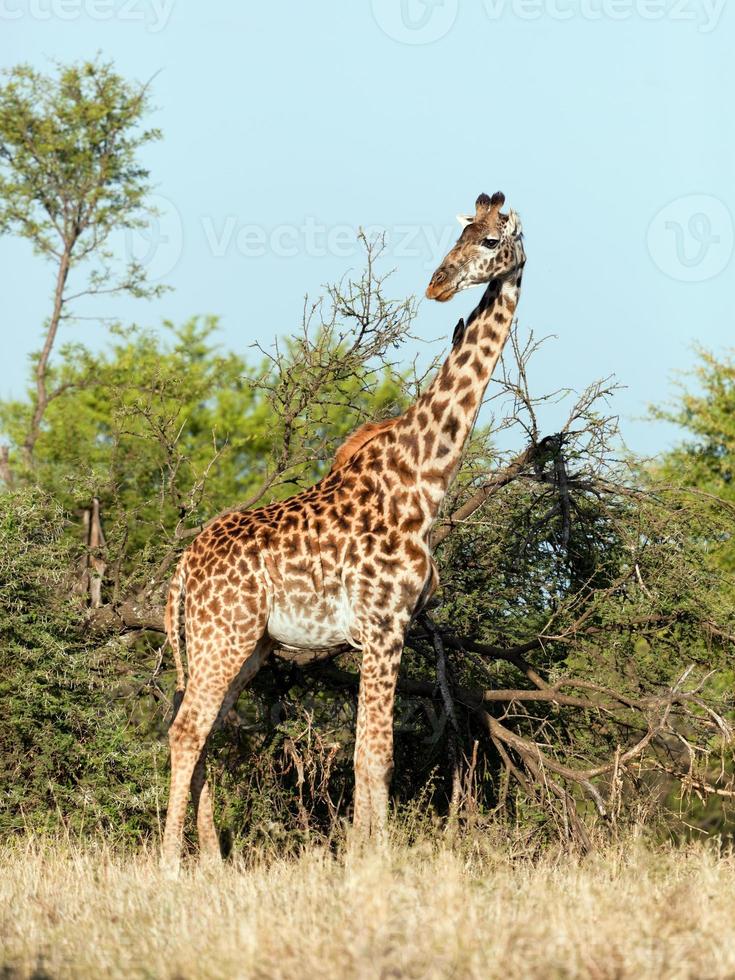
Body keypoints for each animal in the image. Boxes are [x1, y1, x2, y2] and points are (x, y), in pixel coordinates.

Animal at [163, 191, 528, 872]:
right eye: (463, 233)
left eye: (491, 240)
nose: (438, 284)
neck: (425, 476)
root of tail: (183, 568)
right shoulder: (383, 625)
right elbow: (374, 754)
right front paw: (371, 862)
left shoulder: (390, 629)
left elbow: (371, 753)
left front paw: (366, 854)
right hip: (222, 637)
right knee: (187, 729)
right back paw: (171, 863)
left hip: (244, 646)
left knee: (207, 731)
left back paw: (214, 861)